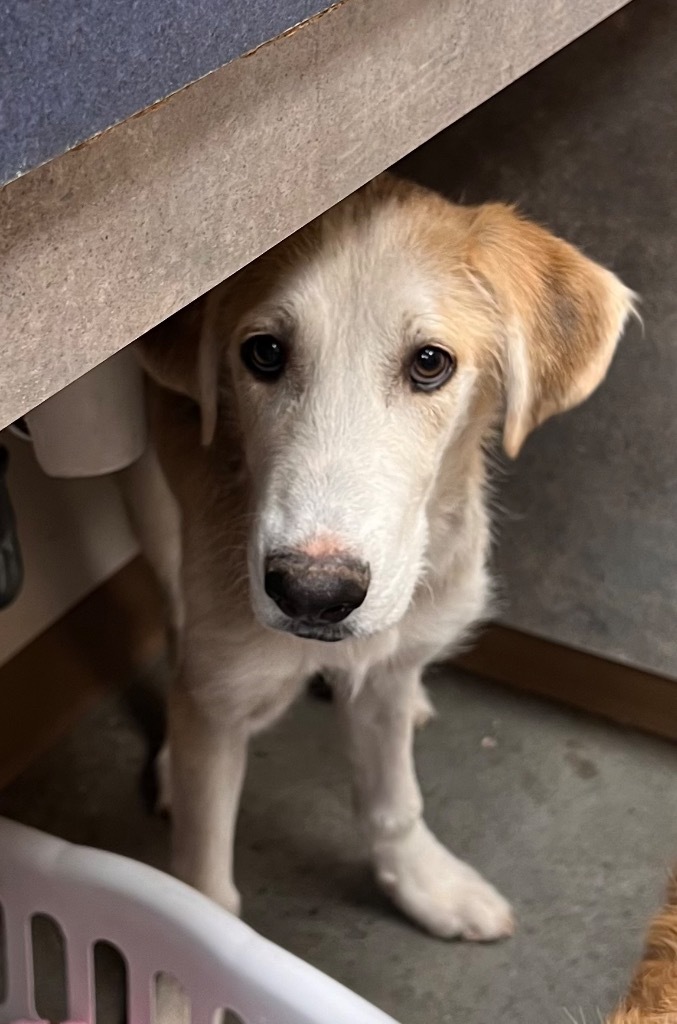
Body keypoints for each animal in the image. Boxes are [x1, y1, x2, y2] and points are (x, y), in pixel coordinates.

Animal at [122, 174, 635, 942]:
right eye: (263, 354)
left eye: (429, 362)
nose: (312, 593)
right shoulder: (219, 698)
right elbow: (204, 897)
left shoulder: (386, 661)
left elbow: (394, 800)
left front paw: (424, 884)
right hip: (144, 492)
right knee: (176, 610)